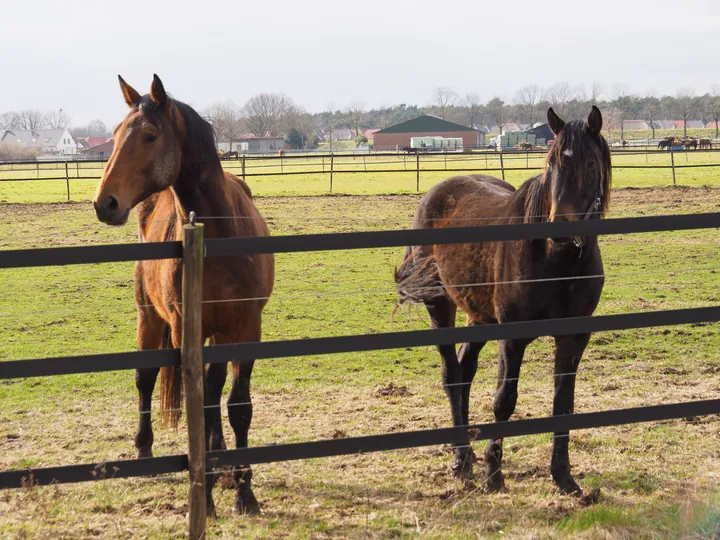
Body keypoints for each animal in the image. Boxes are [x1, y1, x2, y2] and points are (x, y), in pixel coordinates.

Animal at [94, 75, 274, 516]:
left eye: (149, 135)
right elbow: (199, 403)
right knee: (145, 379)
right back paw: (145, 452)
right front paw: (205, 497)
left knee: (214, 388)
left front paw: (244, 492)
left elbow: (235, 406)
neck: (219, 234)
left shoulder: (246, 329)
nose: (105, 203)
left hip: (217, 334)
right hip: (149, 317)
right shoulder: (183, 330)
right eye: (114, 135)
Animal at [396, 106, 612, 498]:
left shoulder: (573, 338)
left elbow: (563, 402)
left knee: (464, 370)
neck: (557, 260)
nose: (560, 231)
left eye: (590, 162)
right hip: (441, 306)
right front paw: (493, 474)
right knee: (452, 375)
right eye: (551, 162)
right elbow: (504, 400)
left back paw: (467, 454)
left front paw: (563, 476)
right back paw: (461, 459)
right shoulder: (512, 337)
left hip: (480, 317)